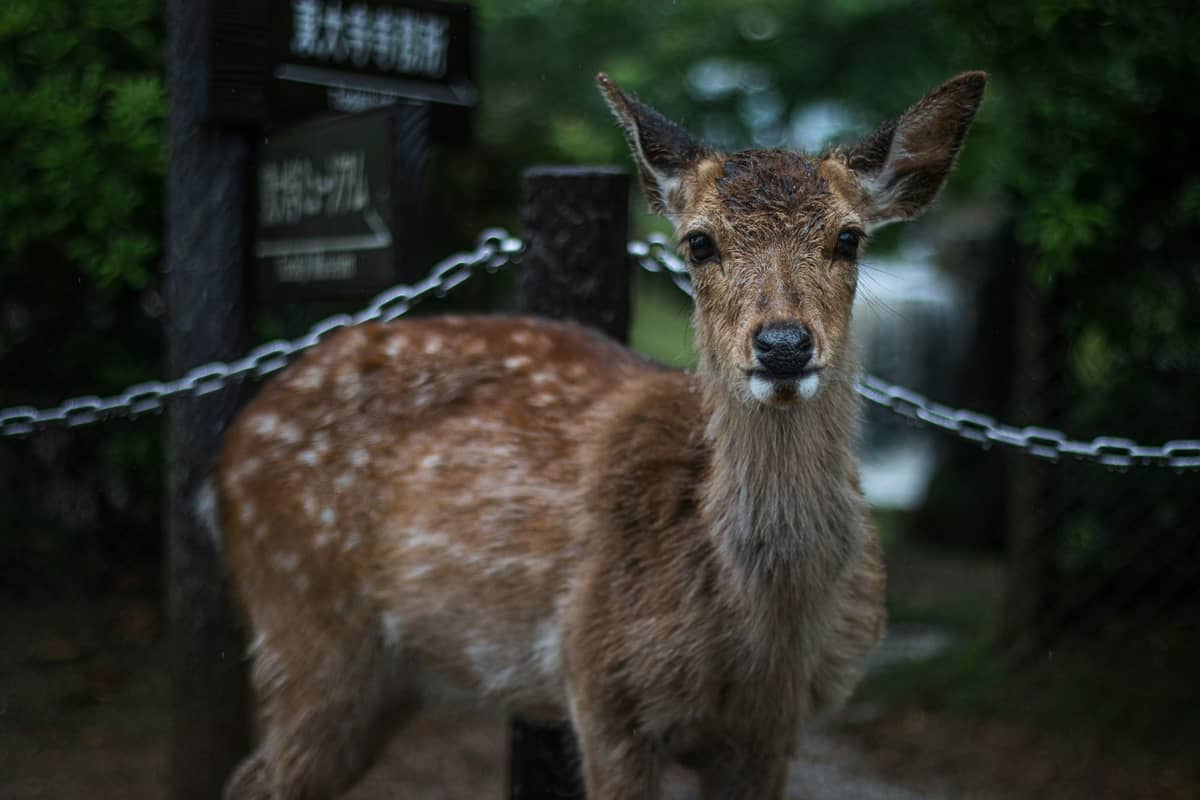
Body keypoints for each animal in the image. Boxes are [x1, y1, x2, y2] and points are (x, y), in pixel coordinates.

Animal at [216, 71, 987, 799]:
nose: (783, 345)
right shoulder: (599, 685)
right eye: (698, 242)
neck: (759, 637)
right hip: (304, 617)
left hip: (381, 674)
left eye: (848, 237)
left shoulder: (776, 729)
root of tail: (234, 442)